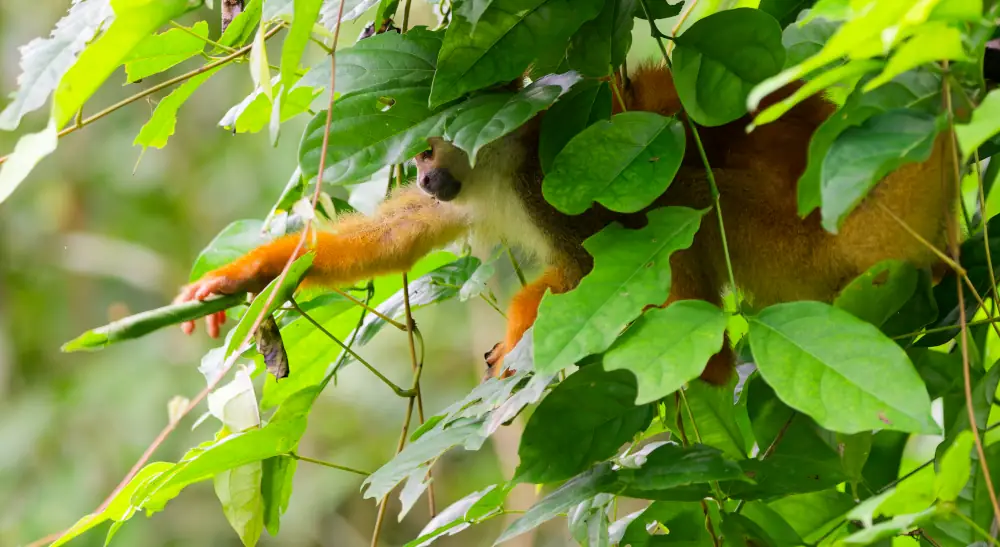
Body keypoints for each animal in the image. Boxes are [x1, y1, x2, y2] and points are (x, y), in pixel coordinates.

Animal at [174, 62, 954, 386]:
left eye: (427, 150)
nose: (422, 177)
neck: (493, 164)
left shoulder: (544, 180)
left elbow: (590, 265)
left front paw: (526, 320)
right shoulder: (461, 194)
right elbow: (392, 239)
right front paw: (246, 273)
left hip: (782, 244)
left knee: (687, 199)